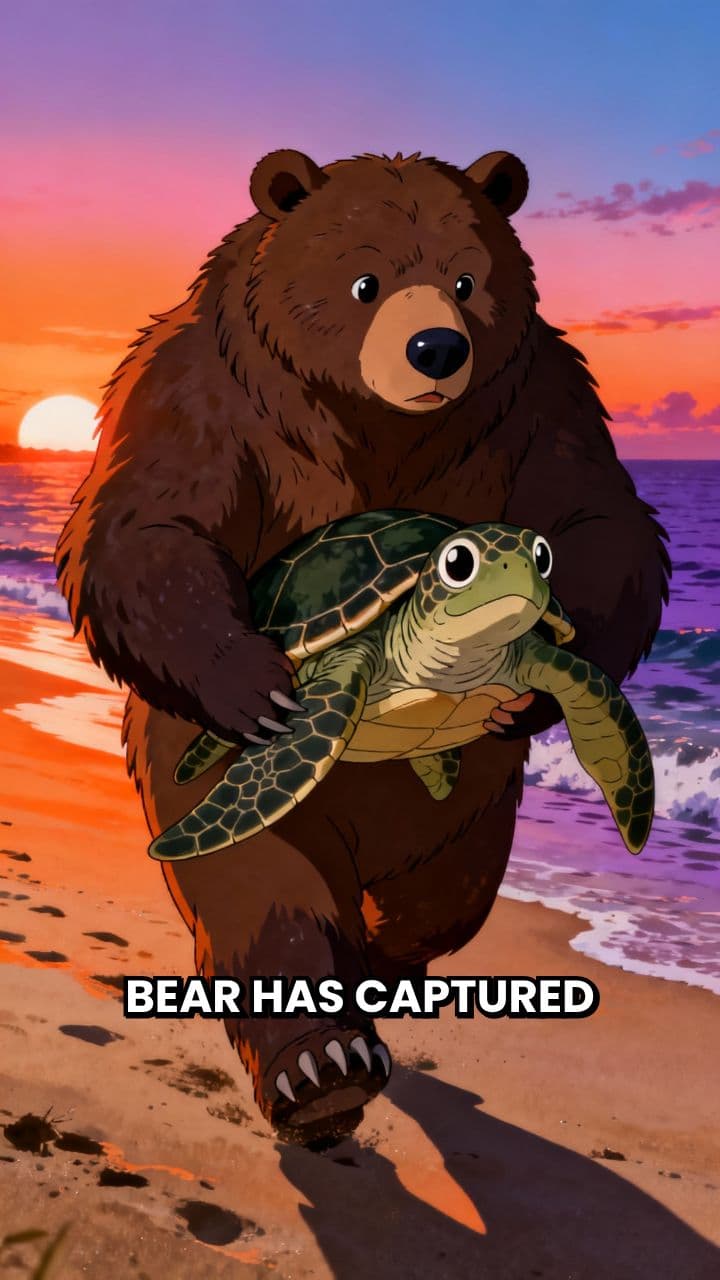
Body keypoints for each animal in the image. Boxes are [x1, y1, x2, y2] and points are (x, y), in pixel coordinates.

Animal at [55, 148, 670, 1144]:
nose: (437, 348)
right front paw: (250, 682)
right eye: (363, 281)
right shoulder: (205, 384)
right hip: (202, 755)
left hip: (468, 821)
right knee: (256, 864)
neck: (381, 425)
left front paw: (554, 716)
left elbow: (600, 520)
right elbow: (148, 521)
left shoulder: (537, 398)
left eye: (467, 281)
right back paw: (323, 1068)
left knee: (443, 894)